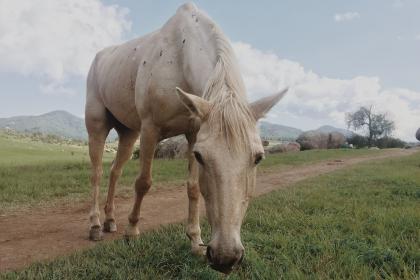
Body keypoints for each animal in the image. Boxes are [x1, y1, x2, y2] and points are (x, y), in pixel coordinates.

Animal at [86, 2, 288, 274]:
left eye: (258, 158)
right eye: (202, 156)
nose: (225, 257)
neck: (178, 56)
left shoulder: (193, 133)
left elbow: (193, 188)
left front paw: (195, 241)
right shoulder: (150, 129)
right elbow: (143, 183)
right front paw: (132, 231)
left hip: (128, 133)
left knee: (114, 172)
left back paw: (109, 220)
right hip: (97, 125)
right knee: (97, 173)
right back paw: (96, 225)